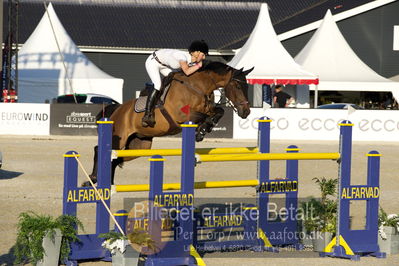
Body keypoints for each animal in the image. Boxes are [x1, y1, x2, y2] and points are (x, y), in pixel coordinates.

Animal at [84, 61, 253, 186]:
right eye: (238, 86)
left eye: (247, 86)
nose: (246, 112)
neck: (198, 87)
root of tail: (117, 109)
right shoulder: (180, 115)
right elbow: (204, 115)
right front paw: (202, 129)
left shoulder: (208, 108)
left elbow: (218, 111)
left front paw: (203, 130)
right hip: (119, 137)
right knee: (100, 149)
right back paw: (93, 179)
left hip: (139, 145)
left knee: (115, 158)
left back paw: (108, 182)